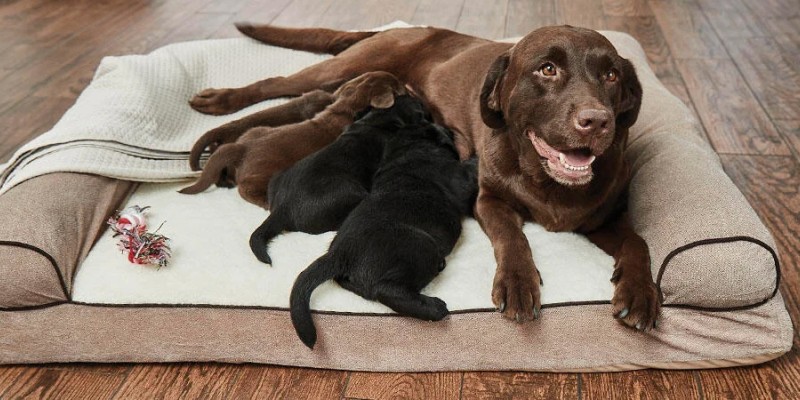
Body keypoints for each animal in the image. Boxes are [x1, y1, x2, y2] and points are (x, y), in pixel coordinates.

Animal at [181, 72, 406, 208]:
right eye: (399, 86)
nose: (408, 86)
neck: (345, 106)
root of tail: (242, 149)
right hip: (263, 174)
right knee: (246, 189)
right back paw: (266, 202)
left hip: (256, 131)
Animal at [276, 95, 476, 348]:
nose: (449, 128)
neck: (409, 149)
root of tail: (338, 253)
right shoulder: (459, 178)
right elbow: (471, 169)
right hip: (420, 245)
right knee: (387, 289)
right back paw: (434, 307)